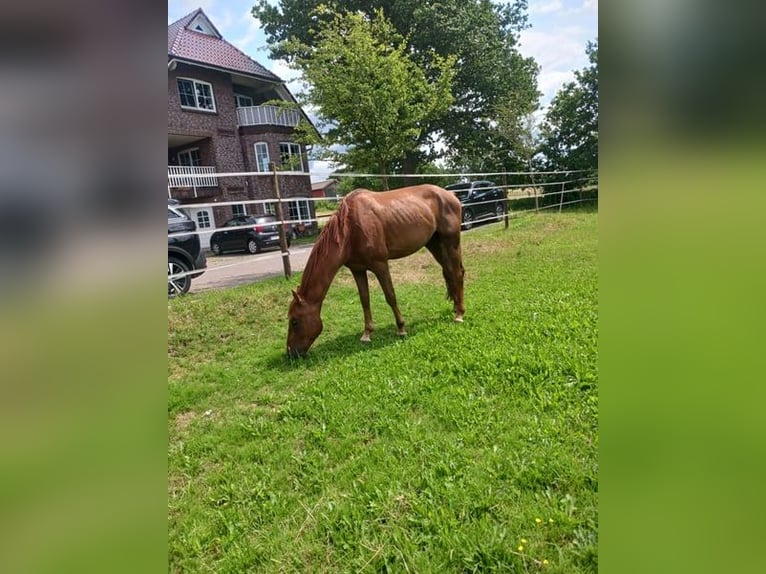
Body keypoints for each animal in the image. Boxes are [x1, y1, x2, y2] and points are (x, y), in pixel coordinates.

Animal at [286, 184, 465, 358]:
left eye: (295, 321)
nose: (290, 353)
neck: (349, 229)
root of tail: (450, 195)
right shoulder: (357, 270)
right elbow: (364, 300)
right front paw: (367, 333)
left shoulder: (380, 265)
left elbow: (390, 296)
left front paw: (401, 328)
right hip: (434, 243)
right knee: (449, 272)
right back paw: (455, 308)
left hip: (451, 242)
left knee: (457, 273)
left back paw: (459, 315)